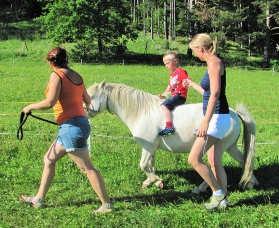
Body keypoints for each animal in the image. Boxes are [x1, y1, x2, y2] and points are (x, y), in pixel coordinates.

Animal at [88, 82, 260, 192]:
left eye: (90, 95)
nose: (86, 111)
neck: (141, 112)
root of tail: (234, 113)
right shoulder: (151, 148)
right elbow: (150, 165)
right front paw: (153, 183)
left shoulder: (148, 146)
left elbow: (143, 165)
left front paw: (156, 181)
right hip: (230, 147)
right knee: (244, 160)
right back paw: (251, 183)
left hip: (218, 147)